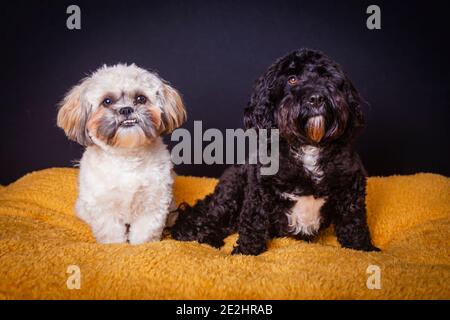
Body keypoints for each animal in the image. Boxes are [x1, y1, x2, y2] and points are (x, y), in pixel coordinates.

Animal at [57, 65, 185, 245]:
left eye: (141, 98)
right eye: (107, 101)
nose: (126, 109)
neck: (127, 157)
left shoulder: (152, 204)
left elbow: (144, 234)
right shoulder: (104, 208)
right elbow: (112, 236)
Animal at [172, 48, 380, 255]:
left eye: (326, 76)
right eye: (292, 79)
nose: (316, 98)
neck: (309, 144)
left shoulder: (351, 186)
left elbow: (354, 222)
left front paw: (363, 249)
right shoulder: (259, 189)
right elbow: (254, 222)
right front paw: (246, 252)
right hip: (231, 193)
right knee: (208, 219)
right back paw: (207, 238)